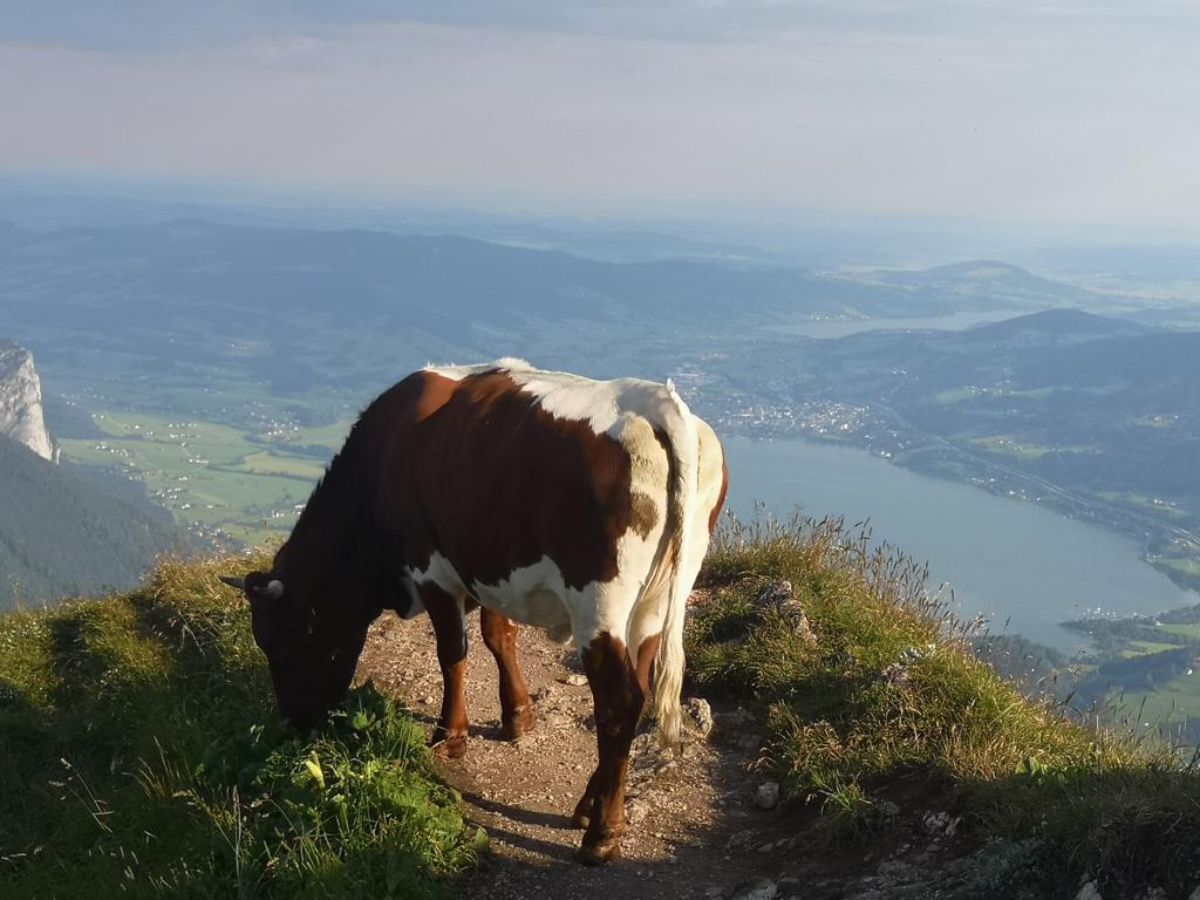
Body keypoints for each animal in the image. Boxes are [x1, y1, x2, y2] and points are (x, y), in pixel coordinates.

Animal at [220, 362, 724, 868]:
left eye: (283, 644)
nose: (295, 723)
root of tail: (656, 403)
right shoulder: (484, 561)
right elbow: (498, 634)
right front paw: (517, 716)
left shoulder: (431, 566)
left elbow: (452, 652)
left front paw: (450, 736)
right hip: (656, 600)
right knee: (636, 687)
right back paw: (589, 804)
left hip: (599, 600)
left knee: (618, 699)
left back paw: (601, 834)